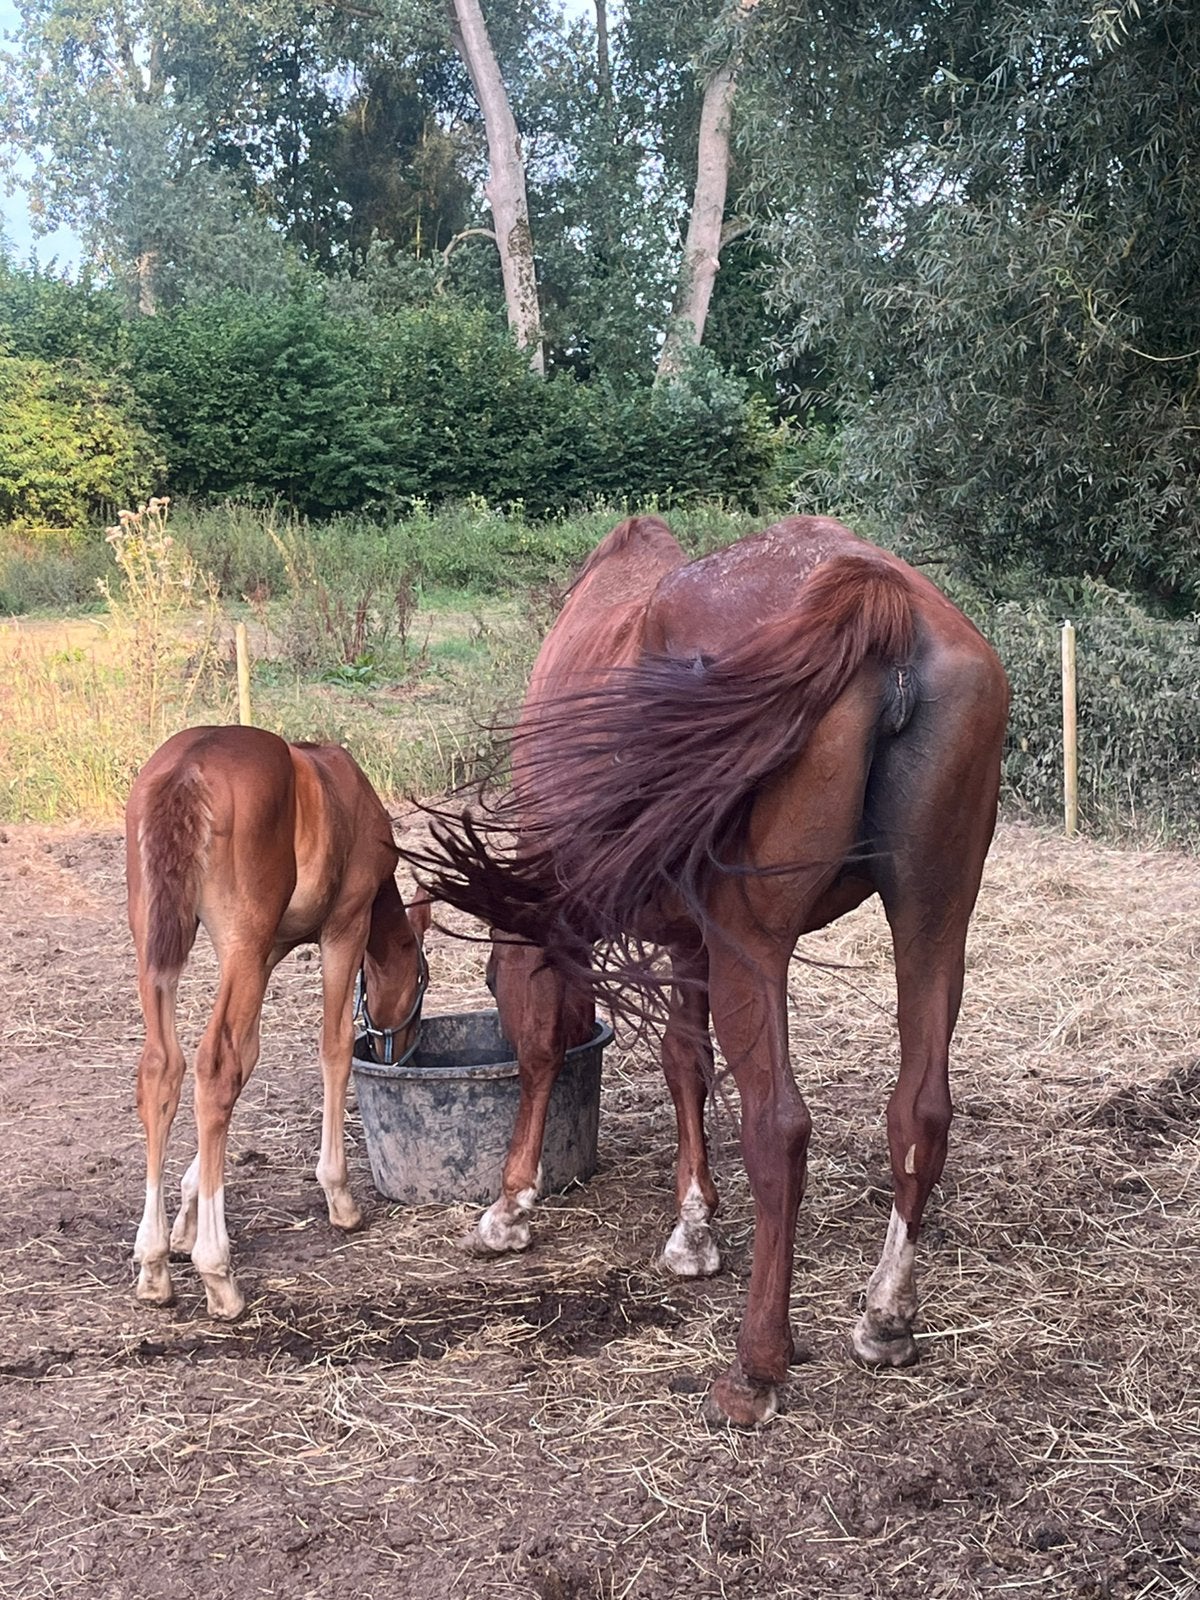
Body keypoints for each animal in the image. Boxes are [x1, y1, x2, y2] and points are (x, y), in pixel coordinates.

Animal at [126, 724, 430, 1320]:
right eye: (420, 985)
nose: (401, 1050)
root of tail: (188, 768)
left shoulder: (268, 953)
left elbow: (249, 1056)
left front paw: (184, 1222)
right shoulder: (344, 928)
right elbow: (333, 1046)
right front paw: (339, 1195)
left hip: (159, 943)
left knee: (163, 1069)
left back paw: (153, 1263)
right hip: (240, 942)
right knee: (213, 1069)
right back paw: (217, 1272)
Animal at [407, 514, 1009, 1427]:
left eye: (489, 986)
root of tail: (880, 597)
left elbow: (550, 1048)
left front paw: (511, 1205)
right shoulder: (690, 943)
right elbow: (685, 1064)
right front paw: (693, 1229)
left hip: (755, 946)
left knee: (779, 1130)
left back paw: (755, 1368)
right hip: (933, 922)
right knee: (920, 1115)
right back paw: (884, 1320)